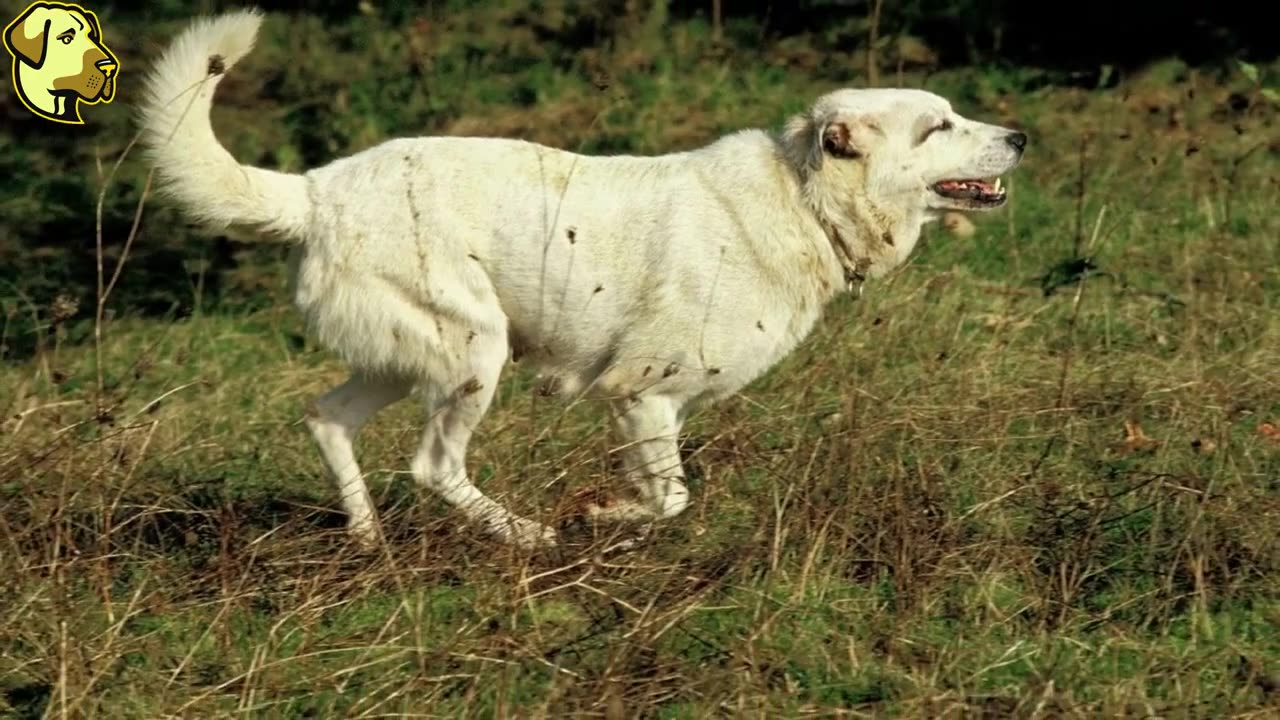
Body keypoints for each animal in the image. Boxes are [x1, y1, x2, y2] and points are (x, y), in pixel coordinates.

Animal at [132, 8, 1029, 545]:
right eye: (938, 126)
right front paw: (600, 514)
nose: (1020, 136)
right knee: (433, 466)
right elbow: (670, 499)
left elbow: (666, 489)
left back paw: (368, 540)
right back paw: (528, 535)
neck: (803, 199)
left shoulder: (650, 411)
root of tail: (316, 189)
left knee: (327, 420)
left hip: (406, 359)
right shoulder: (643, 393)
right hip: (475, 355)